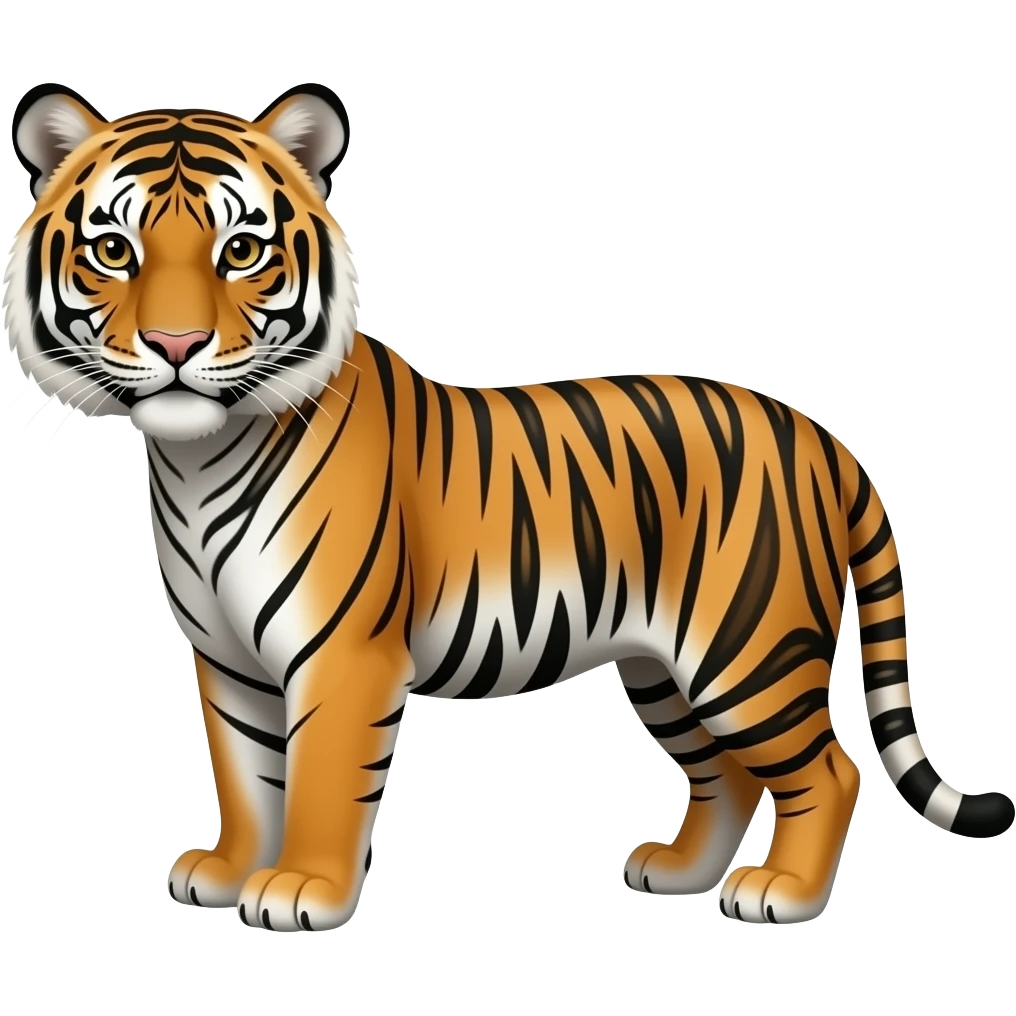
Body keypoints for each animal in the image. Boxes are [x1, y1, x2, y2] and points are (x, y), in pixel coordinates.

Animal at [3, 81, 1011, 936]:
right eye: (113, 251)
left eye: (241, 251)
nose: (176, 344)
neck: (196, 456)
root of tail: (819, 435)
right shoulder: (227, 658)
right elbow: (247, 772)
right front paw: (229, 869)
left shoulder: (341, 654)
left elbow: (322, 776)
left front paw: (301, 889)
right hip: (663, 666)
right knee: (724, 774)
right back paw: (680, 872)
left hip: (746, 648)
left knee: (828, 771)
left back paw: (783, 894)